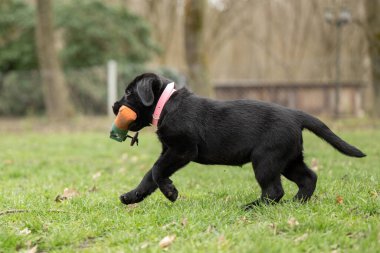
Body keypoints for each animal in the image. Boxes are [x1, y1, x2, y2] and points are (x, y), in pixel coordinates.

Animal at [113, 72, 366, 209]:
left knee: (274, 191)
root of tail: (296, 115)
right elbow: (150, 175)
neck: (166, 105)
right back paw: (297, 202)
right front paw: (132, 196)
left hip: (266, 159)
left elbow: (157, 171)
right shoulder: (169, 151)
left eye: (128, 93)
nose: (114, 106)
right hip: (288, 159)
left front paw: (170, 192)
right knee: (308, 177)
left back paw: (252, 207)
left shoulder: (183, 149)